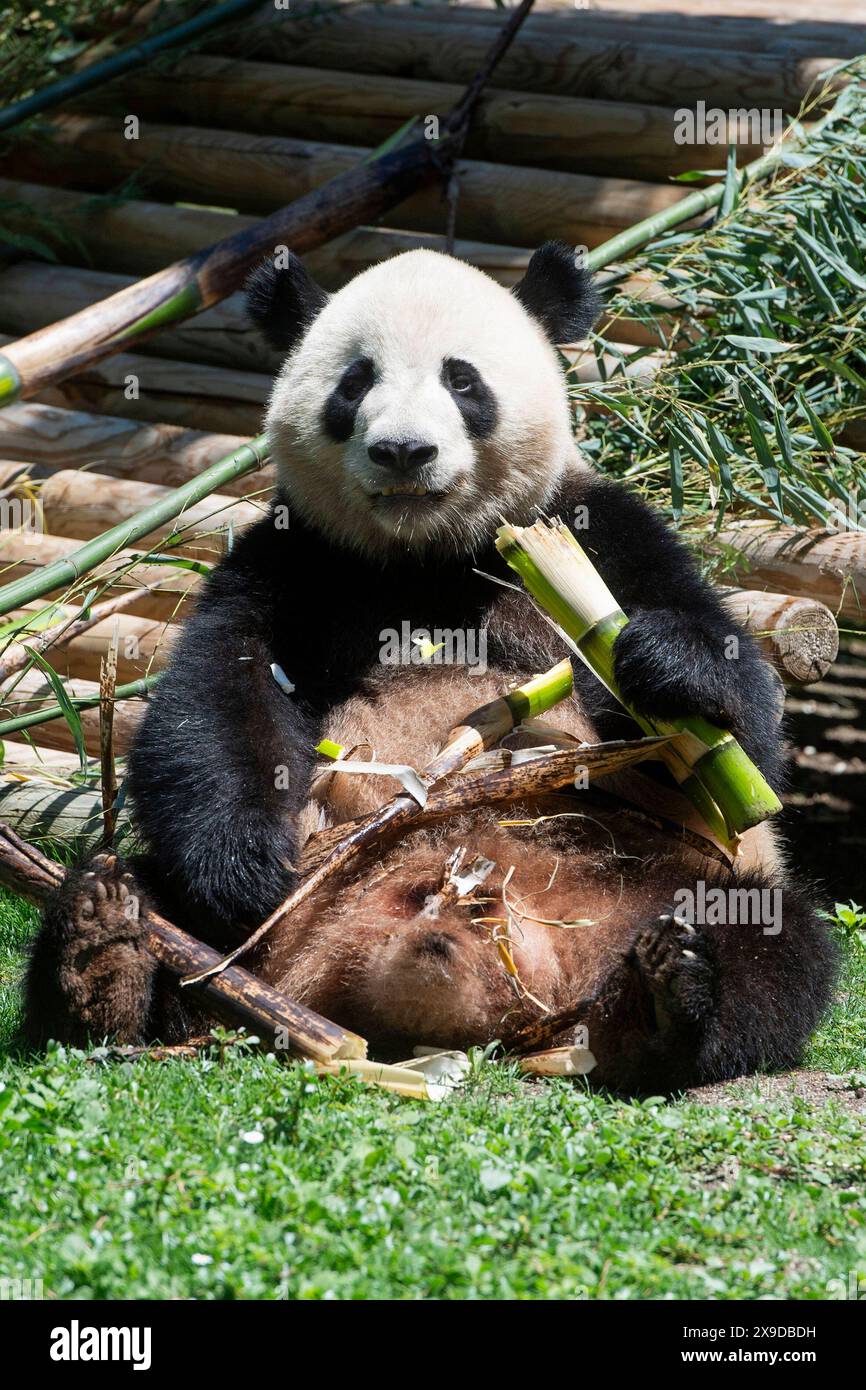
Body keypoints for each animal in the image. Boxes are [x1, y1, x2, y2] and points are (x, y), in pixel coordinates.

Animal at [23, 244, 839, 1089]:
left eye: (463, 380)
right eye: (355, 382)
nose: (404, 451)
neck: (429, 556)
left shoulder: (597, 533)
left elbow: (741, 737)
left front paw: (667, 666)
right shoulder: (292, 556)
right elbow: (219, 694)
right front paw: (241, 864)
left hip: (665, 880)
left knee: (772, 943)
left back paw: (667, 997)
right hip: (265, 932)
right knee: (151, 898)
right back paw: (104, 955)